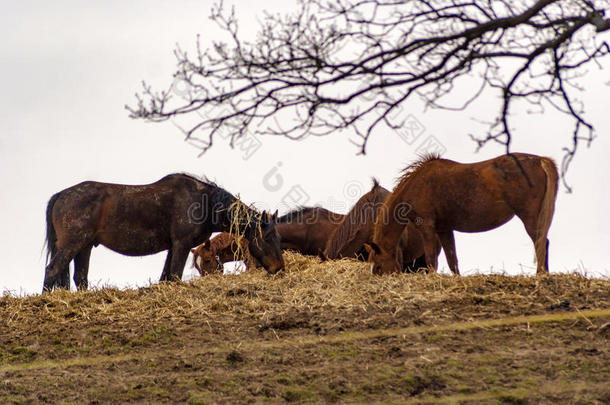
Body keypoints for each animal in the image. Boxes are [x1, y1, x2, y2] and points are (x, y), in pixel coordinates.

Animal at [42, 174, 284, 290]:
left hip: (84, 247)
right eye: (268, 237)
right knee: (53, 270)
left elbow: (166, 277)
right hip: (72, 244)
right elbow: (174, 275)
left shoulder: (172, 247)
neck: (204, 202)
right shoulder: (181, 245)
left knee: (80, 277)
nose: (280, 269)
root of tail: (61, 195)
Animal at [364, 153, 560, 276]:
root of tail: (540, 160)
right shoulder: (444, 229)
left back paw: (540, 274)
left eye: (378, 267)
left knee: (540, 242)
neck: (416, 186)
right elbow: (452, 259)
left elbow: (431, 258)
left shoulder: (427, 227)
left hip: (530, 217)